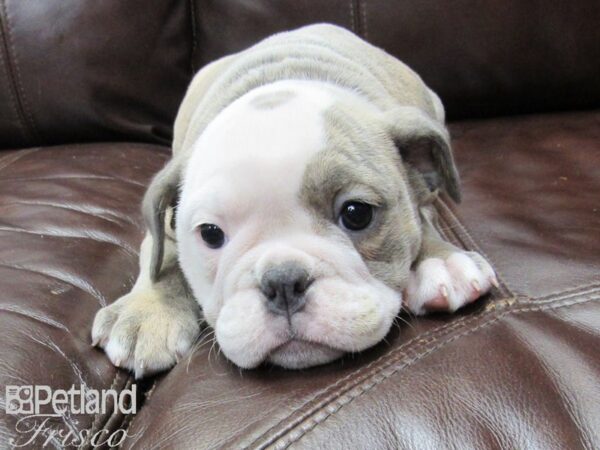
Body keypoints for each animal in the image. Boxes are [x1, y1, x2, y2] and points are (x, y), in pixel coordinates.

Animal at [92, 23, 496, 376]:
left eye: (357, 214)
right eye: (210, 234)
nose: (283, 282)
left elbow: (420, 212)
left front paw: (440, 260)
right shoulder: (164, 224)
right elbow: (161, 259)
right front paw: (146, 313)